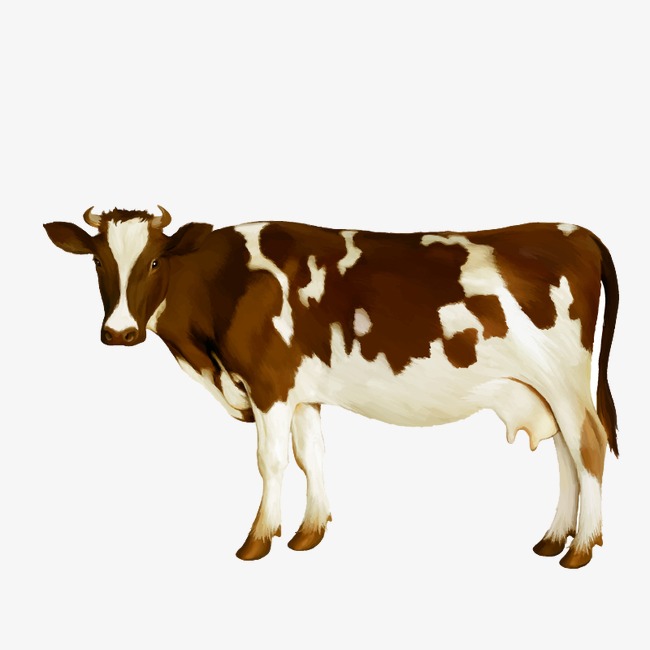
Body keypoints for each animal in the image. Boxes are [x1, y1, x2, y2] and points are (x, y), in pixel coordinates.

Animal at [43, 207, 618, 569]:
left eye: (155, 260)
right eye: (97, 260)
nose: (119, 332)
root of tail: (573, 231)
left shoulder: (270, 384)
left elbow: (271, 461)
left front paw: (258, 540)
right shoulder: (302, 393)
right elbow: (311, 455)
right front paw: (308, 533)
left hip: (565, 381)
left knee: (588, 446)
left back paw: (580, 549)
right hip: (544, 389)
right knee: (566, 454)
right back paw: (554, 538)